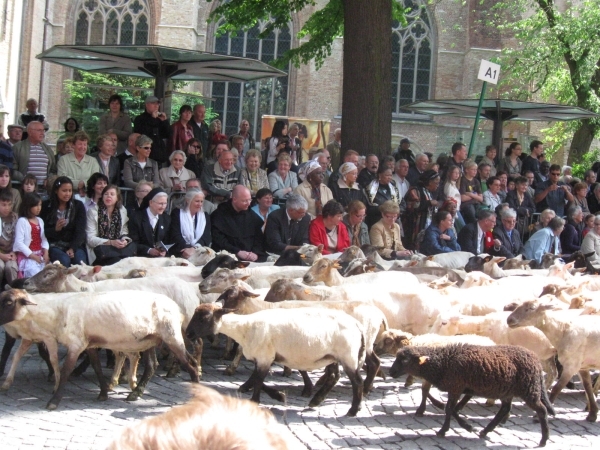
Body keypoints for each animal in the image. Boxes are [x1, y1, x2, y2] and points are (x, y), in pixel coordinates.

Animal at [390, 344, 552, 446]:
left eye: (405, 360)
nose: (391, 372)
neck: (443, 362)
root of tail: (536, 361)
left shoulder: (456, 387)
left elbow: (449, 409)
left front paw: (445, 430)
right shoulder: (457, 388)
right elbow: (451, 409)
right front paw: (466, 427)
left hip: (529, 389)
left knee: (542, 410)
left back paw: (544, 440)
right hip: (508, 391)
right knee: (505, 409)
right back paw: (485, 431)